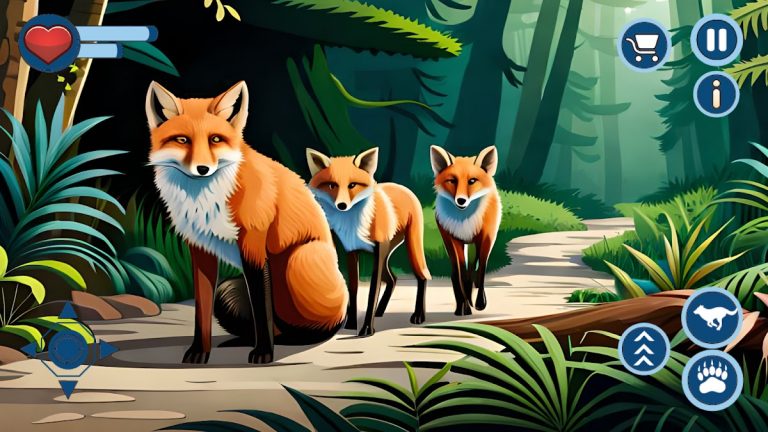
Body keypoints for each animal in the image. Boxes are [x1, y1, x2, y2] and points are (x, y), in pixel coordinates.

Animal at [145, 80, 347, 364]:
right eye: (182, 140)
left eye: (215, 139)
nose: (202, 169)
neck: (206, 201)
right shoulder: (200, 251)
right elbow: (201, 310)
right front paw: (199, 351)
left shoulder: (254, 245)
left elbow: (262, 309)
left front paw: (263, 353)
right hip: (227, 290)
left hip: (298, 261)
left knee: (309, 328)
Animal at [306, 147, 431, 337]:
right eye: (332, 185)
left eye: (352, 185)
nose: (342, 205)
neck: (352, 224)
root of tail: (403, 187)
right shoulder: (351, 251)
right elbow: (354, 288)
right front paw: (351, 324)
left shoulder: (378, 251)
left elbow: (373, 291)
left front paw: (366, 329)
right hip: (388, 252)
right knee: (393, 279)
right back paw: (380, 311)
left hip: (409, 247)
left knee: (421, 276)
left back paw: (418, 315)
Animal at [430, 145, 501, 316]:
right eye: (452, 180)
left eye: (472, 181)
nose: (461, 200)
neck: (465, 221)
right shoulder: (455, 240)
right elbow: (461, 274)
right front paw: (465, 306)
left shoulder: (486, 239)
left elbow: (480, 270)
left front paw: (480, 303)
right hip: (450, 243)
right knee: (457, 274)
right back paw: (462, 304)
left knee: (473, 270)